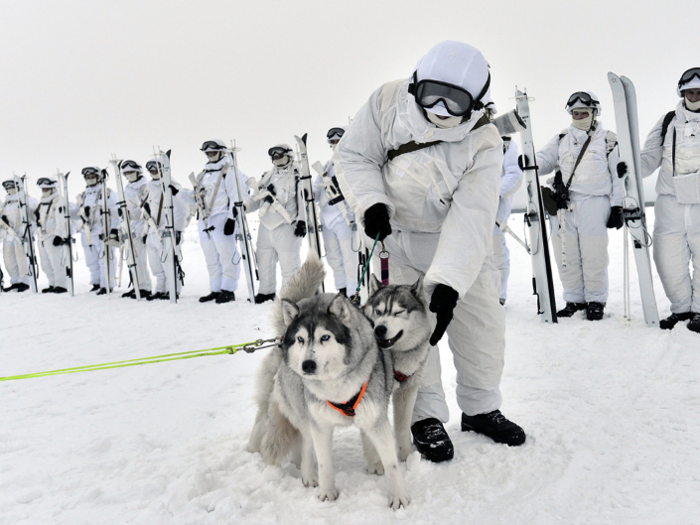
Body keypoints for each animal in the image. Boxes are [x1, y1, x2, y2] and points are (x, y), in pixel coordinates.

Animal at [246, 254, 410, 508]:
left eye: (325, 337)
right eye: (301, 339)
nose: (307, 365)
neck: (337, 387)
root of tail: (282, 335)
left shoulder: (376, 419)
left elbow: (391, 463)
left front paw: (398, 497)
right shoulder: (319, 426)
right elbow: (323, 462)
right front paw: (327, 492)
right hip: (301, 414)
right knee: (304, 444)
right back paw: (307, 473)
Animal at [366, 272, 432, 460]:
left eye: (399, 312)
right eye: (378, 311)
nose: (379, 329)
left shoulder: (407, 391)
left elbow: (402, 428)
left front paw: (407, 456)